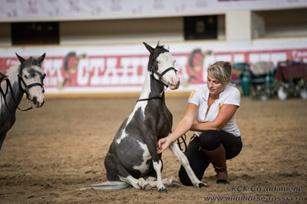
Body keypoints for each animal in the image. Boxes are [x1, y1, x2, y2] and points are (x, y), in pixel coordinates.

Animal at [91, 42, 207, 191]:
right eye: (157, 62)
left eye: (174, 60)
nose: (175, 82)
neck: (154, 105)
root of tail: (110, 177)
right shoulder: (150, 136)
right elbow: (157, 163)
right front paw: (161, 187)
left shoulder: (166, 136)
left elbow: (183, 158)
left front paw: (197, 182)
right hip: (113, 164)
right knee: (134, 182)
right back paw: (149, 183)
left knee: (146, 178)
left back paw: (168, 181)